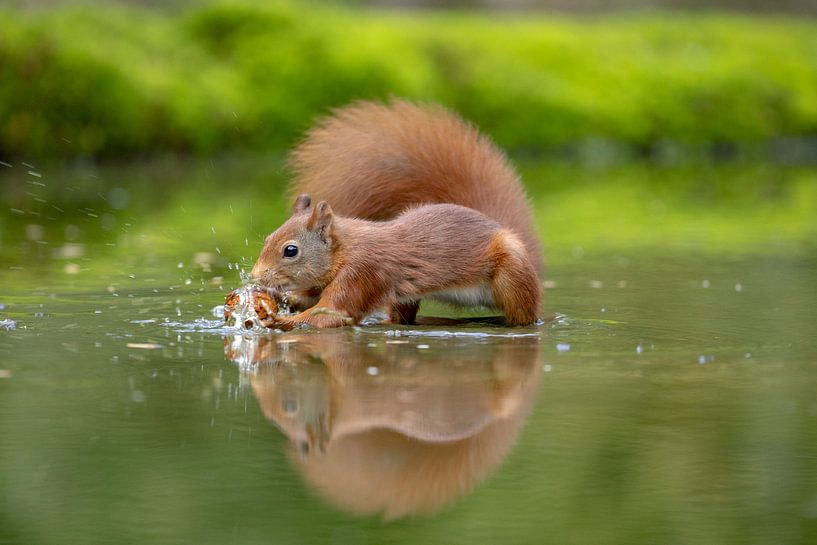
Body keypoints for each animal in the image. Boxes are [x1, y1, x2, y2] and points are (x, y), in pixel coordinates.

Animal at [249, 99, 540, 328]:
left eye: (290, 251)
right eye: (267, 239)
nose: (255, 276)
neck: (346, 248)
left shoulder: (362, 273)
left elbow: (332, 313)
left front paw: (279, 320)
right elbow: (311, 298)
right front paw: (276, 298)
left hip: (513, 277)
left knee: (525, 314)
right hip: (405, 298)